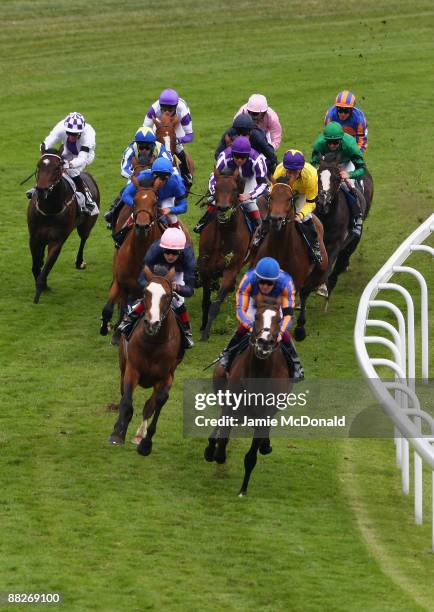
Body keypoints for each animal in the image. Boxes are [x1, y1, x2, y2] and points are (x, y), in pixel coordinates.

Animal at [26, 146, 99, 304]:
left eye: (57, 168)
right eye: (39, 165)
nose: (41, 190)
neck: (49, 209)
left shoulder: (57, 240)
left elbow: (47, 265)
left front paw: (40, 289)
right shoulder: (35, 237)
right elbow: (36, 265)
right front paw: (42, 284)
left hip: (86, 225)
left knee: (83, 239)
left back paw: (79, 262)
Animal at [109, 270, 184, 456]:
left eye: (168, 295)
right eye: (145, 293)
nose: (152, 323)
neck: (154, 342)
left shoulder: (167, 376)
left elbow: (158, 402)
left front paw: (145, 443)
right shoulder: (132, 369)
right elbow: (127, 400)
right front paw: (117, 433)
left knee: (150, 405)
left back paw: (139, 435)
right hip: (123, 364)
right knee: (123, 394)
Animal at [204, 298, 292, 498]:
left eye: (278, 319)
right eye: (257, 316)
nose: (264, 342)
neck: (258, 374)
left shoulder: (264, 416)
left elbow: (251, 456)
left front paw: (243, 489)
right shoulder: (231, 405)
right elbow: (222, 442)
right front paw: (216, 452)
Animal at [253, 182, 328, 344]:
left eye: (289, 199)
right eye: (271, 197)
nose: (275, 219)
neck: (279, 250)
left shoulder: (294, 283)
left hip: (318, 271)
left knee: (305, 294)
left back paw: (300, 328)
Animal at [318, 155, 374, 298]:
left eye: (336, 178)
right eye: (318, 175)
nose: (323, 200)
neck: (327, 217)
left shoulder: (335, 243)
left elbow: (329, 264)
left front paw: (322, 287)